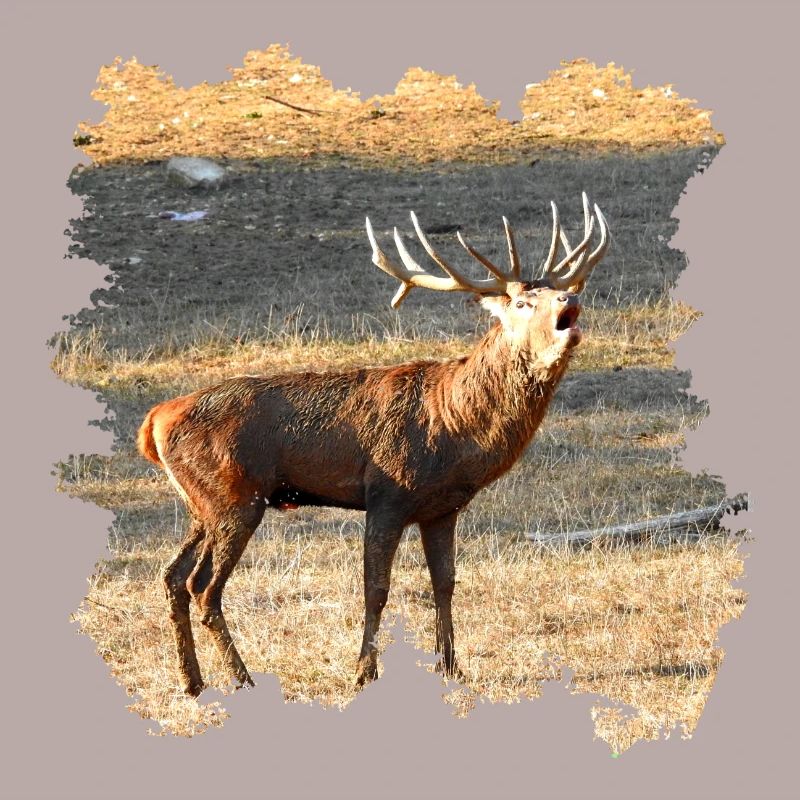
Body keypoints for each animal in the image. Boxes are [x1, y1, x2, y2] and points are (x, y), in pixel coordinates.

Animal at [137, 193, 609, 697]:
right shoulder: (387, 494)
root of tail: (154, 421)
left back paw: (193, 681)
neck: (455, 428)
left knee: (172, 576)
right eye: (522, 301)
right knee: (203, 587)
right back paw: (242, 679)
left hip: (203, 503)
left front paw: (451, 666)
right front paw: (365, 672)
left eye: (554, 291)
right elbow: (376, 588)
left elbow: (445, 583)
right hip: (234, 497)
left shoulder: (443, 508)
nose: (570, 297)